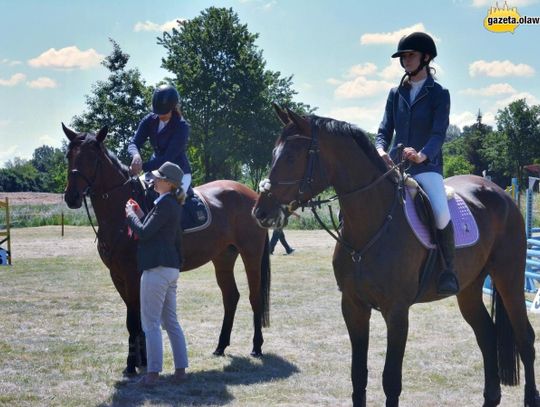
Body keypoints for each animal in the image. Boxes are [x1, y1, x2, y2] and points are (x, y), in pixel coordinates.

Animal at [63, 123, 272, 376]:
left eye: (92, 158)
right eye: (69, 156)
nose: (71, 197)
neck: (119, 216)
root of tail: (252, 196)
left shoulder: (132, 275)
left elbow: (133, 320)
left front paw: (132, 365)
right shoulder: (118, 275)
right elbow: (136, 317)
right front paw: (142, 360)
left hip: (251, 255)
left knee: (254, 297)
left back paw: (257, 347)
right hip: (223, 257)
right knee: (231, 296)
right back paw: (220, 347)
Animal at [253, 107, 540, 406]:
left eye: (291, 157)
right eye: (273, 154)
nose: (260, 213)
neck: (371, 226)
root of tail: (502, 195)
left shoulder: (397, 311)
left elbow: (391, 380)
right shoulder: (353, 306)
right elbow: (358, 375)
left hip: (508, 278)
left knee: (525, 338)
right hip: (470, 288)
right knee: (486, 334)